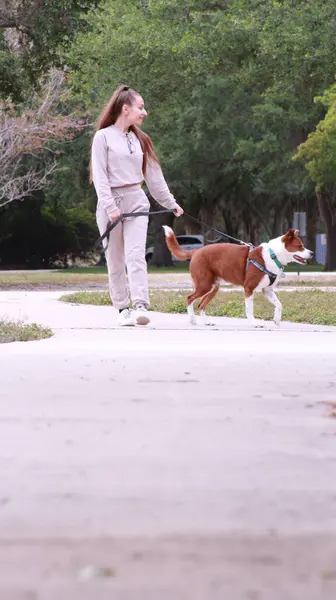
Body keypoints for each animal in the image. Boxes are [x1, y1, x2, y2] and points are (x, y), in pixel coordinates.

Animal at [162, 226, 312, 328]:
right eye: (300, 246)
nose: (311, 253)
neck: (273, 255)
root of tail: (196, 251)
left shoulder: (267, 290)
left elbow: (279, 304)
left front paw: (277, 319)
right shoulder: (249, 288)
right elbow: (249, 309)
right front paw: (254, 323)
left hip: (213, 287)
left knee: (201, 304)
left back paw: (207, 322)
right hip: (204, 285)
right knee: (189, 298)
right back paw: (192, 320)